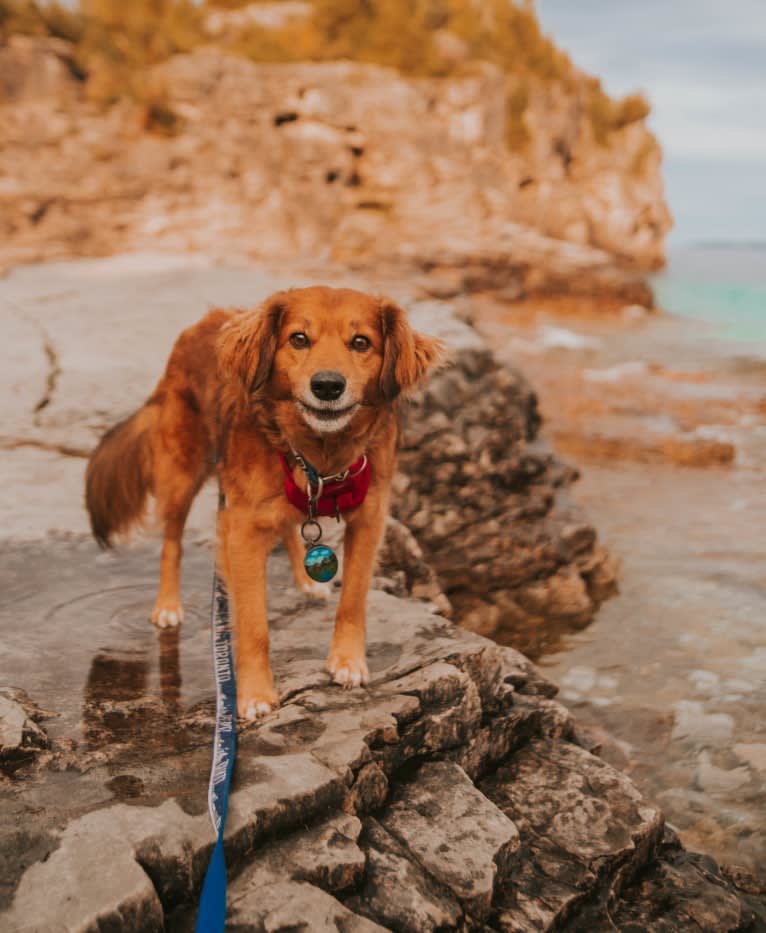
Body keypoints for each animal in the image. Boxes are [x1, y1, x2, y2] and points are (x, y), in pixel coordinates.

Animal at [85, 288, 444, 716]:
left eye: (361, 343)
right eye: (299, 338)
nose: (327, 386)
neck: (319, 461)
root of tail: (204, 323)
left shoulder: (369, 520)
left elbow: (353, 600)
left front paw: (347, 661)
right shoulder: (243, 529)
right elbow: (254, 622)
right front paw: (255, 693)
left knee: (288, 525)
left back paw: (306, 581)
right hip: (181, 473)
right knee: (172, 542)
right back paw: (168, 605)